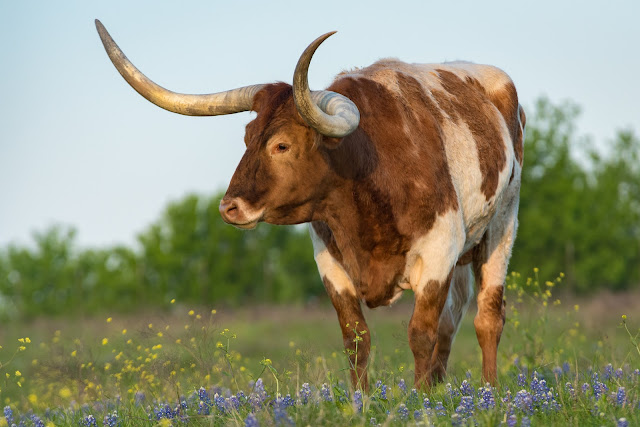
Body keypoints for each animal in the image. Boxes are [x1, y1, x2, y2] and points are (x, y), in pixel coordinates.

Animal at [96, 22, 524, 392]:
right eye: (247, 137)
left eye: (282, 145)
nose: (229, 208)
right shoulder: (331, 264)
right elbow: (356, 339)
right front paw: (361, 403)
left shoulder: (438, 252)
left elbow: (421, 334)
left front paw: (420, 402)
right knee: (453, 320)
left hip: (502, 226)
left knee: (486, 319)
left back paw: (489, 390)